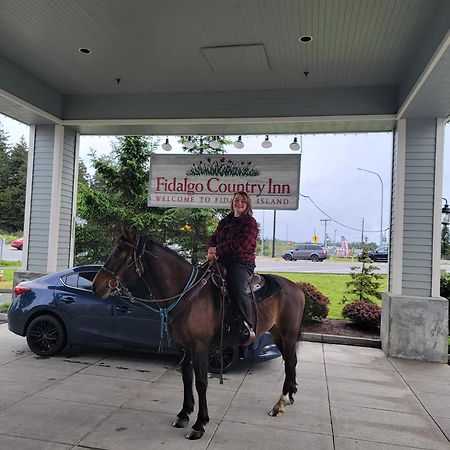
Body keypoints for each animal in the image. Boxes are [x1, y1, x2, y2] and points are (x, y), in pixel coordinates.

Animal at [93, 229, 308, 440]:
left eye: (119, 251)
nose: (96, 285)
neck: (188, 295)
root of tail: (296, 287)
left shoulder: (200, 347)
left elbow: (201, 383)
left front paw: (199, 424)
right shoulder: (182, 347)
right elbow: (187, 379)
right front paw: (183, 415)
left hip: (288, 334)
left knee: (290, 362)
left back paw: (280, 402)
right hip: (277, 333)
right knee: (291, 362)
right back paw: (289, 397)